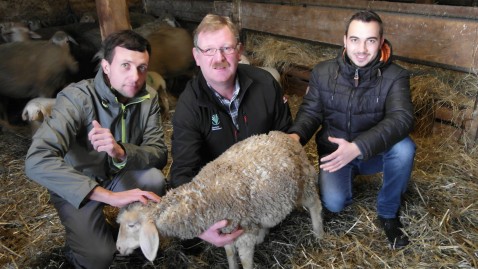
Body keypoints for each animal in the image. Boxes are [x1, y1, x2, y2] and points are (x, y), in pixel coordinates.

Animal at [116, 129, 324, 266]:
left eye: (132, 225)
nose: (118, 248)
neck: (202, 200)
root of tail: (285, 136)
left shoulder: (244, 236)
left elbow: (245, 262)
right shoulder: (226, 233)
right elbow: (230, 255)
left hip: (304, 183)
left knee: (315, 205)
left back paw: (319, 233)